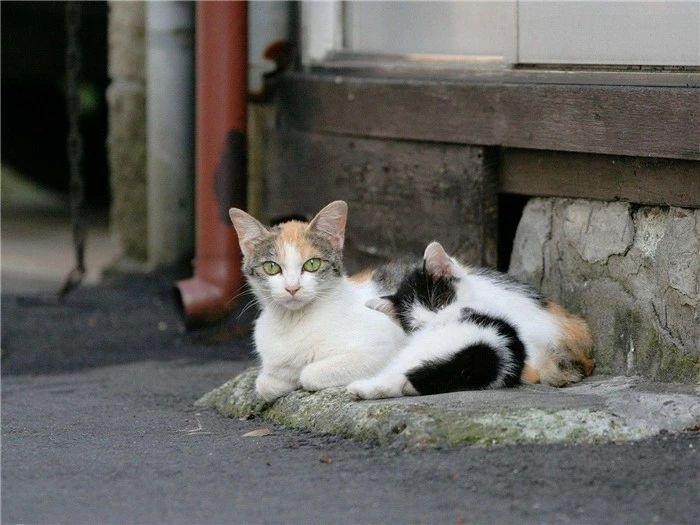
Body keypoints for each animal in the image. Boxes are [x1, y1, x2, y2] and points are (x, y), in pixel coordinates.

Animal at [228, 199, 404, 400]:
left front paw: (300, 373)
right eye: (271, 267)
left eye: (312, 264)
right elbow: (265, 384)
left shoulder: (379, 347)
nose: (292, 287)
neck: (293, 322)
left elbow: (308, 373)